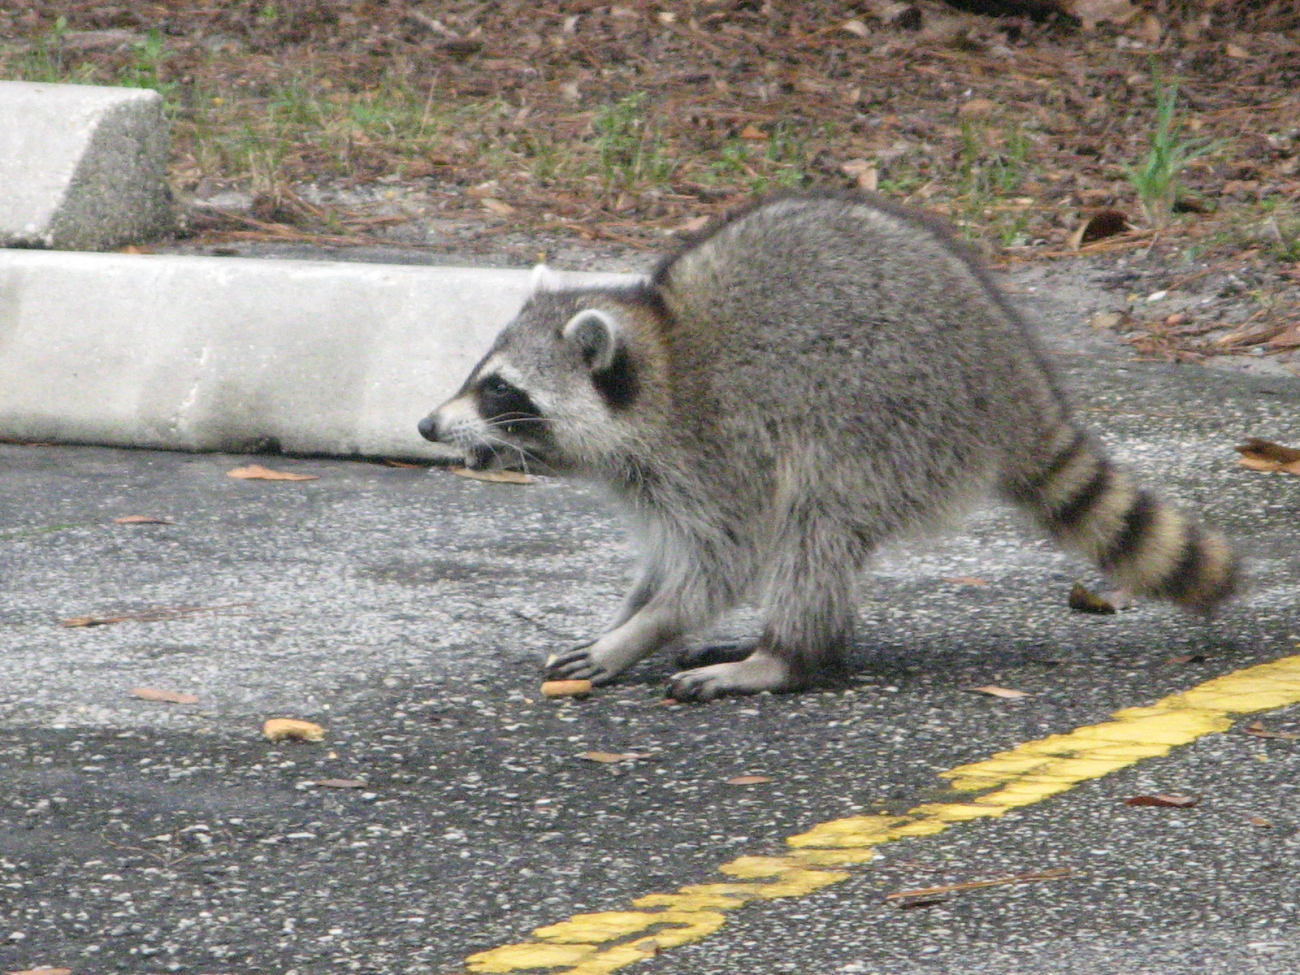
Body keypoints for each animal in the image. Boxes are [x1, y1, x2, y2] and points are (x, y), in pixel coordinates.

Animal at [423, 191, 1237, 702]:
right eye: (478, 373)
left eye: (500, 391)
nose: (429, 426)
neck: (661, 360)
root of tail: (1013, 374)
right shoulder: (657, 480)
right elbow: (664, 567)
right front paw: (629, 617)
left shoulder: (715, 451)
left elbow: (719, 566)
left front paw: (642, 632)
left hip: (891, 419)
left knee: (817, 527)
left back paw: (783, 655)